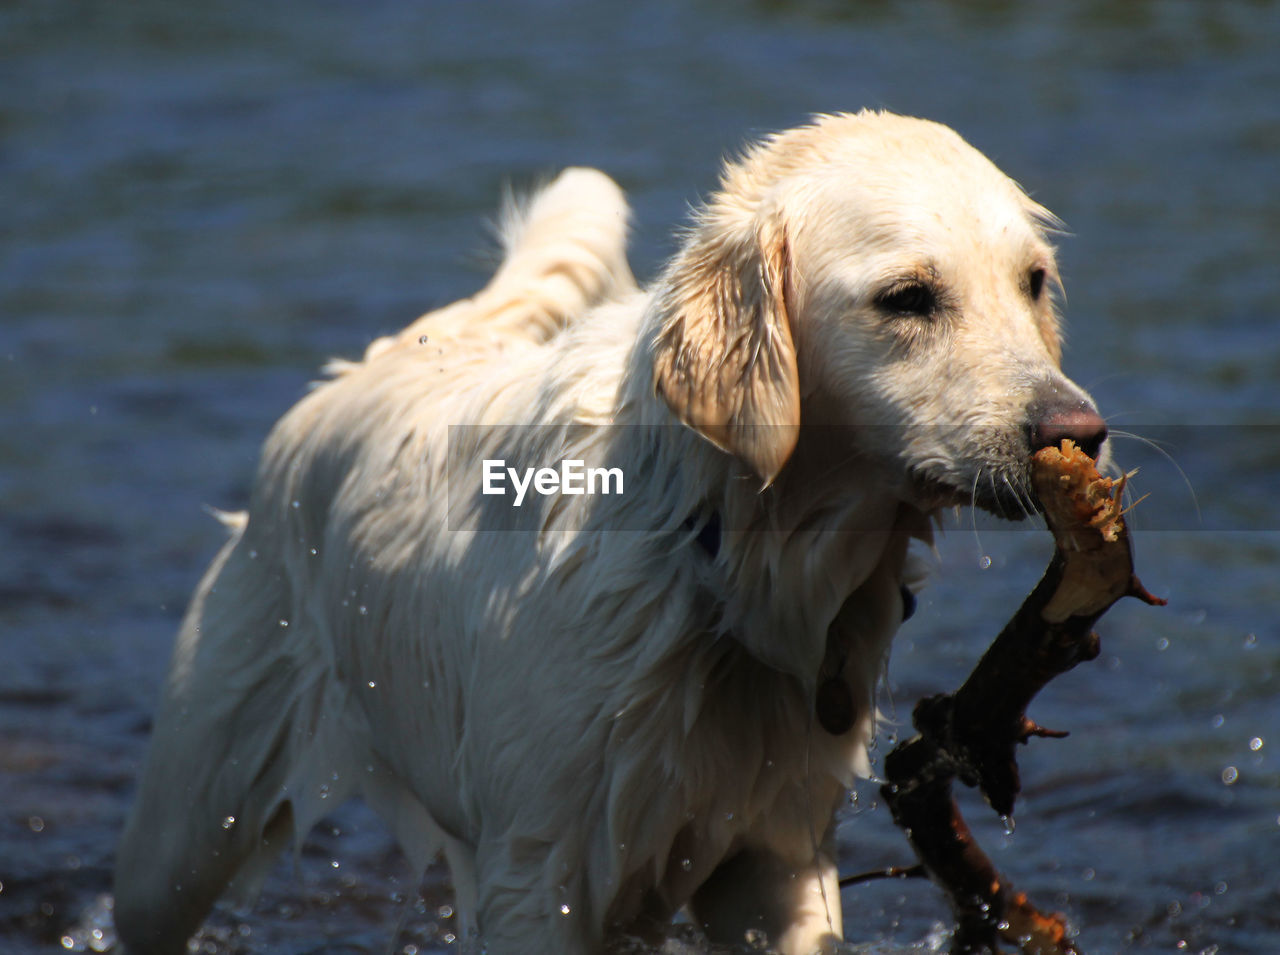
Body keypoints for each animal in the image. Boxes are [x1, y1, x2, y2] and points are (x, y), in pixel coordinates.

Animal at [115, 113, 1105, 952]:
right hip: (183, 827)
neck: (717, 561)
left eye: (1033, 282)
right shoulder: (538, 874)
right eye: (907, 297)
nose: (1082, 431)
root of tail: (360, 369)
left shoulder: (778, 859)